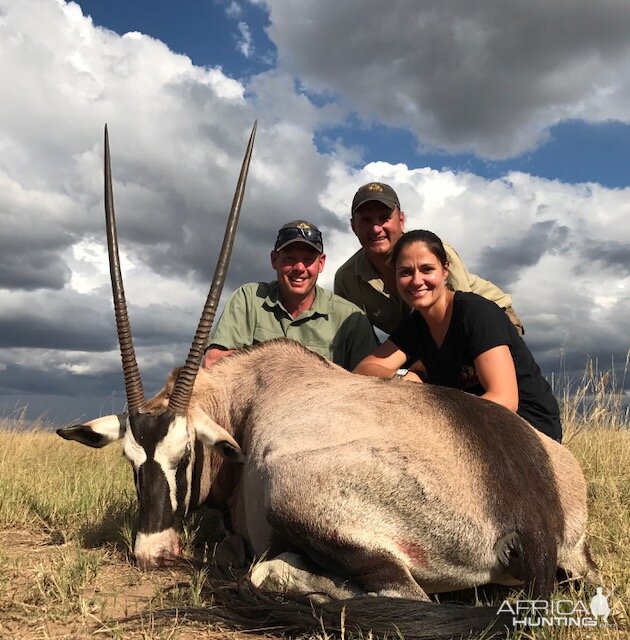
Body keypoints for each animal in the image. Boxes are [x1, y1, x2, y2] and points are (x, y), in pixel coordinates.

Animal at [58, 124, 604, 636]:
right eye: (129, 460)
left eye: (186, 455)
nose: (153, 551)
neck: (247, 395)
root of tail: (531, 511)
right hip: (574, 562)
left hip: (299, 497)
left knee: (365, 588)